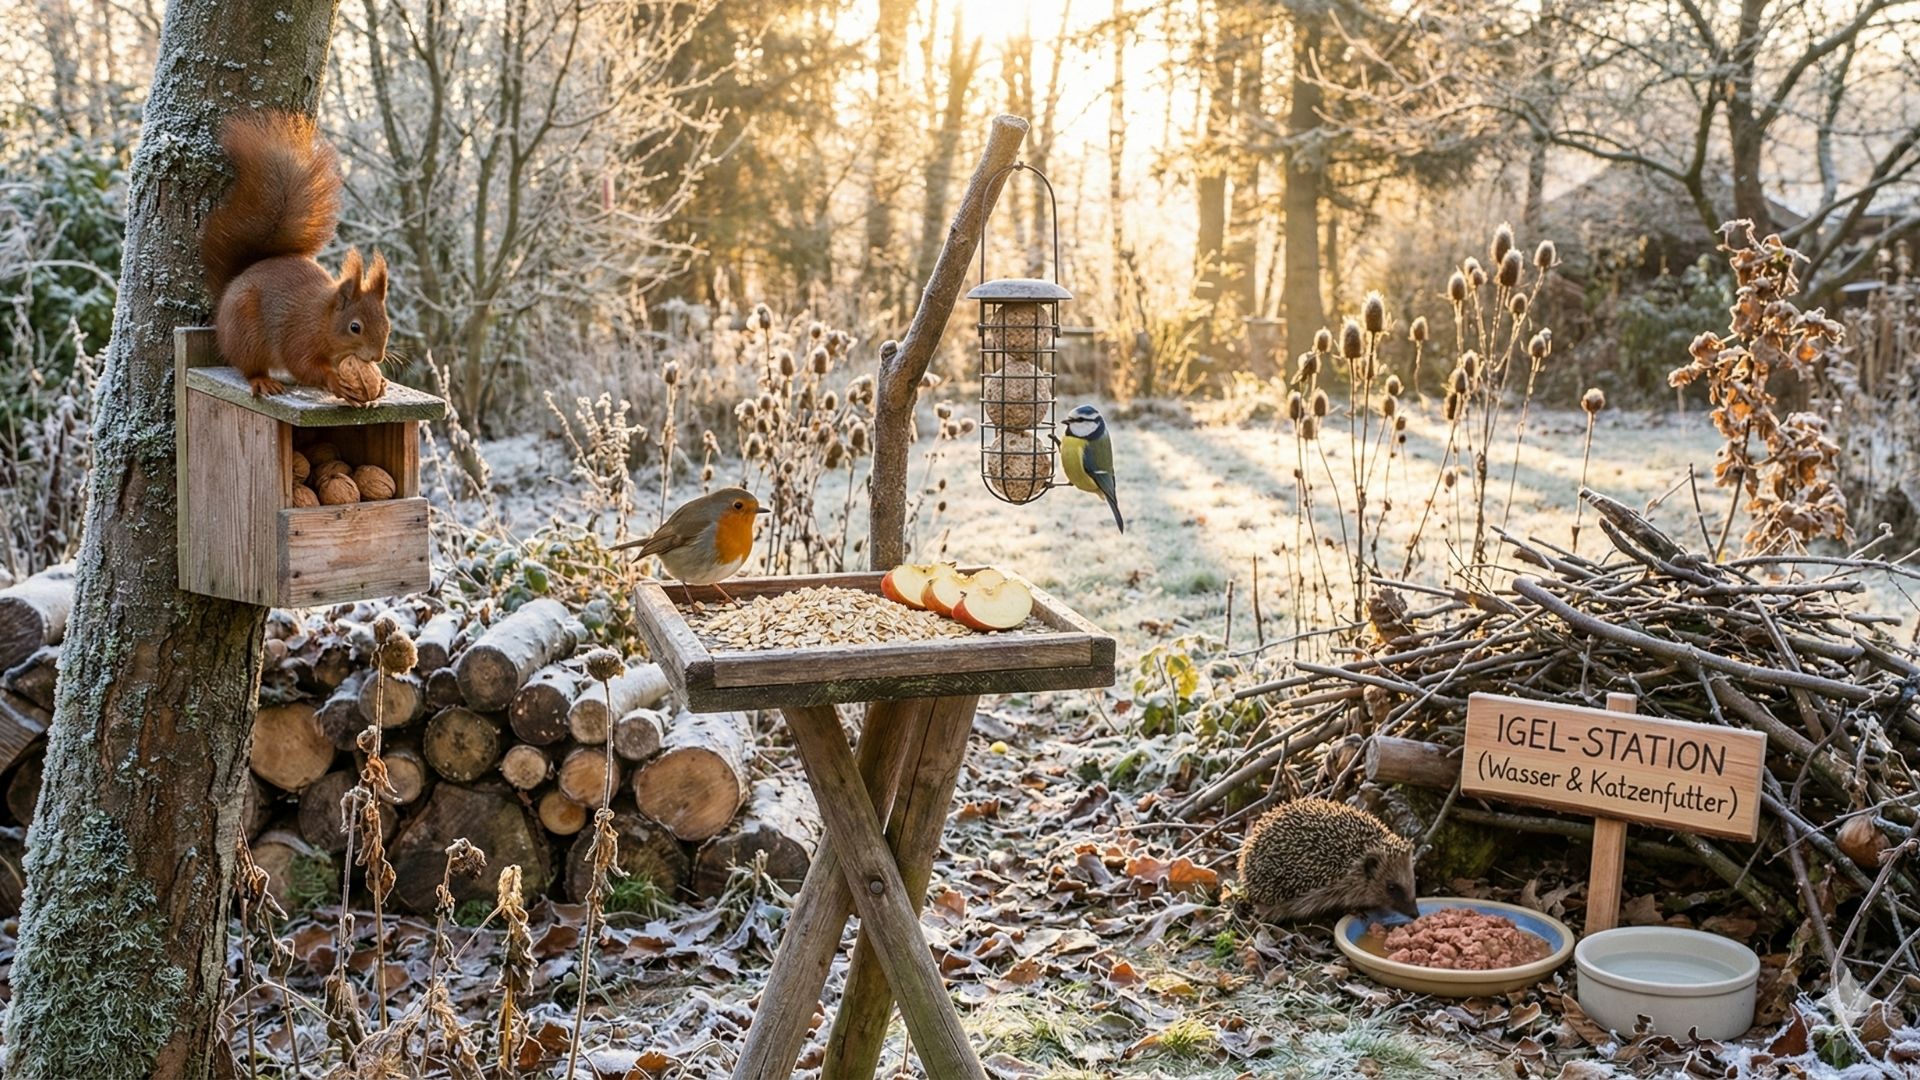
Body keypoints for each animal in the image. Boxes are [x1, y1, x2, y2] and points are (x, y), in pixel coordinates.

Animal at [200, 111, 390, 398]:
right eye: (354, 327)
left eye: (387, 323)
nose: (377, 357)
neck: (323, 319)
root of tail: (232, 285)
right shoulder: (299, 335)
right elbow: (301, 365)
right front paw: (336, 382)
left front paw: (381, 383)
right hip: (245, 335)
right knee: (248, 366)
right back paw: (262, 380)